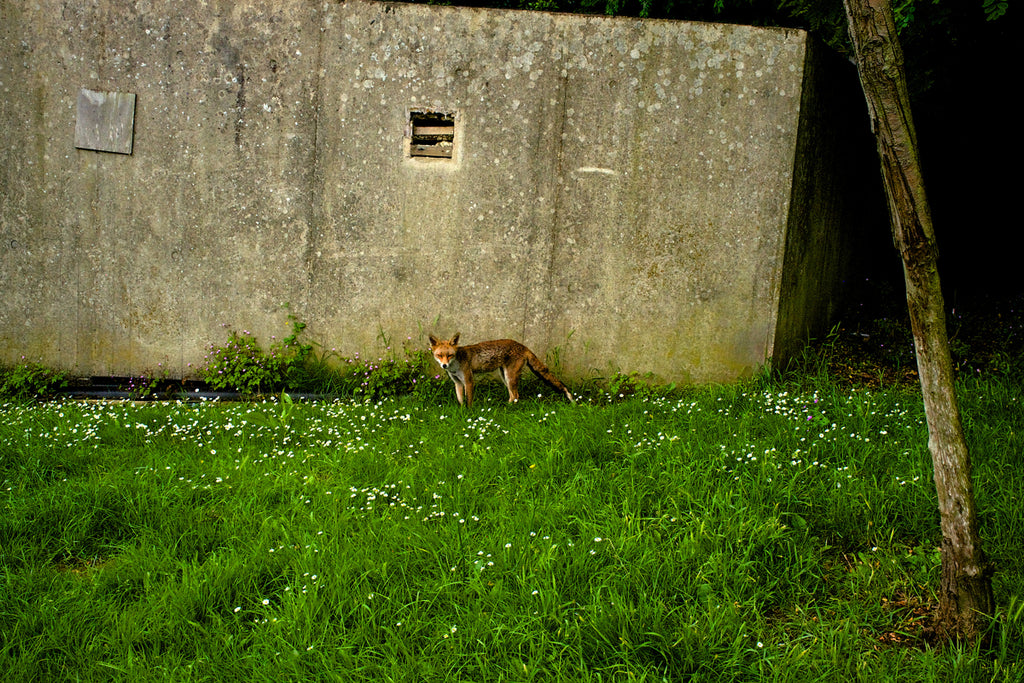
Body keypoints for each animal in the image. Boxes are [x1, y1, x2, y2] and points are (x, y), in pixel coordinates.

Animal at [425, 333, 577, 409]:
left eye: (449, 355)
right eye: (439, 355)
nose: (444, 366)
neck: (455, 366)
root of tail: (523, 346)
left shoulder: (469, 381)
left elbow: (469, 401)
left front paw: (469, 413)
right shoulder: (457, 383)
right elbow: (460, 400)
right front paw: (462, 412)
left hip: (510, 377)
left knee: (516, 396)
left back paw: (508, 409)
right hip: (504, 376)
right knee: (512, 395)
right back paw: (505, 406)